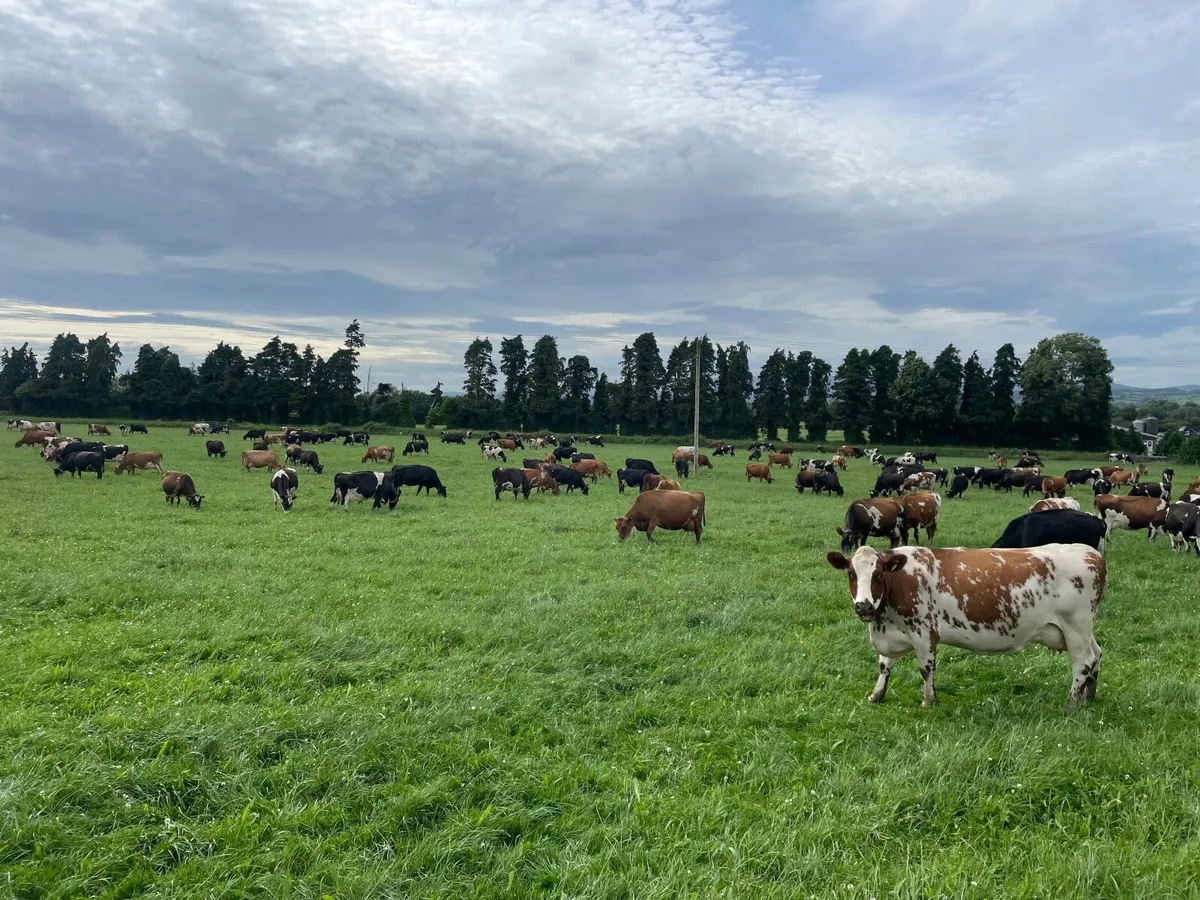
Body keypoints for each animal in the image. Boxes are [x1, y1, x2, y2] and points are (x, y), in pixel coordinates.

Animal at [825, 543, 1106, 709]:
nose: (864, 607)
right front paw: (876, 695)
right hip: (1082, 630)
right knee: (1096, 655)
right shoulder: (894, 631)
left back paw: (1072, 702)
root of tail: (1091, 552)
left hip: (1075, 627)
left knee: (1082, 663)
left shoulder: (923, 631)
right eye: (851, 573)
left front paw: (928, 700)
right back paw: (1089, 696)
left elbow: (926, 668)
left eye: (878, 574)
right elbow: (884, 666)